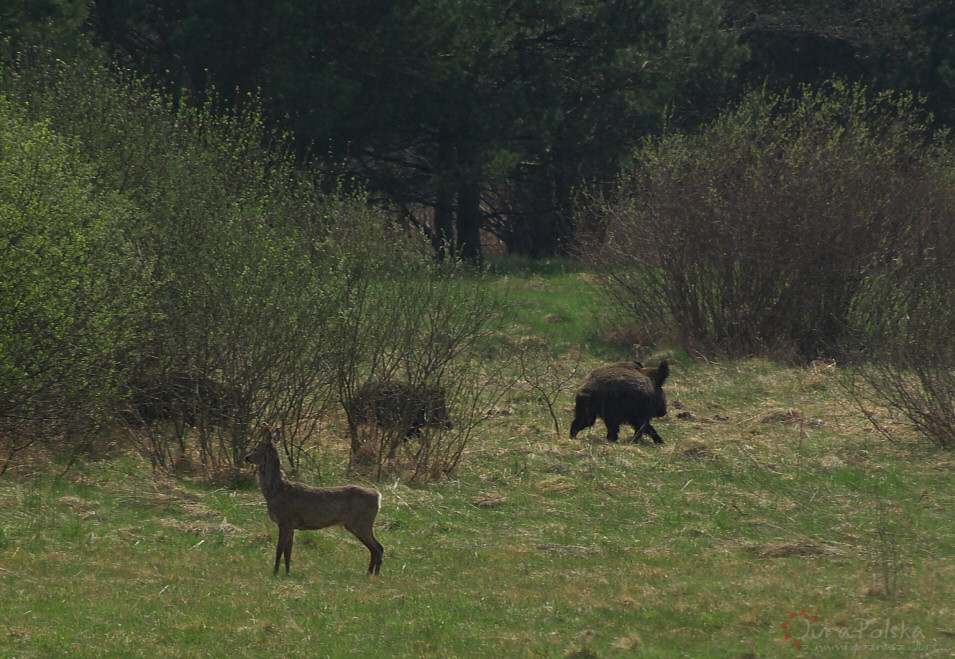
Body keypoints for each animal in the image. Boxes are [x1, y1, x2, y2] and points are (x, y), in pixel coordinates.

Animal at [245, 426, 382, 576]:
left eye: (256, 448)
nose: (247, 457)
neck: (275, 491)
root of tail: (378, 495)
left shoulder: (285, 521)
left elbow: (279, 550)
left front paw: (275, 573)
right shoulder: (291, 526)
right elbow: (288, 553)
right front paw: (287, 573)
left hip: (361, 522)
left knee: (378, 548)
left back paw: (374, 575)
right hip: (357, 524)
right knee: (374, 549)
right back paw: (369, 574)